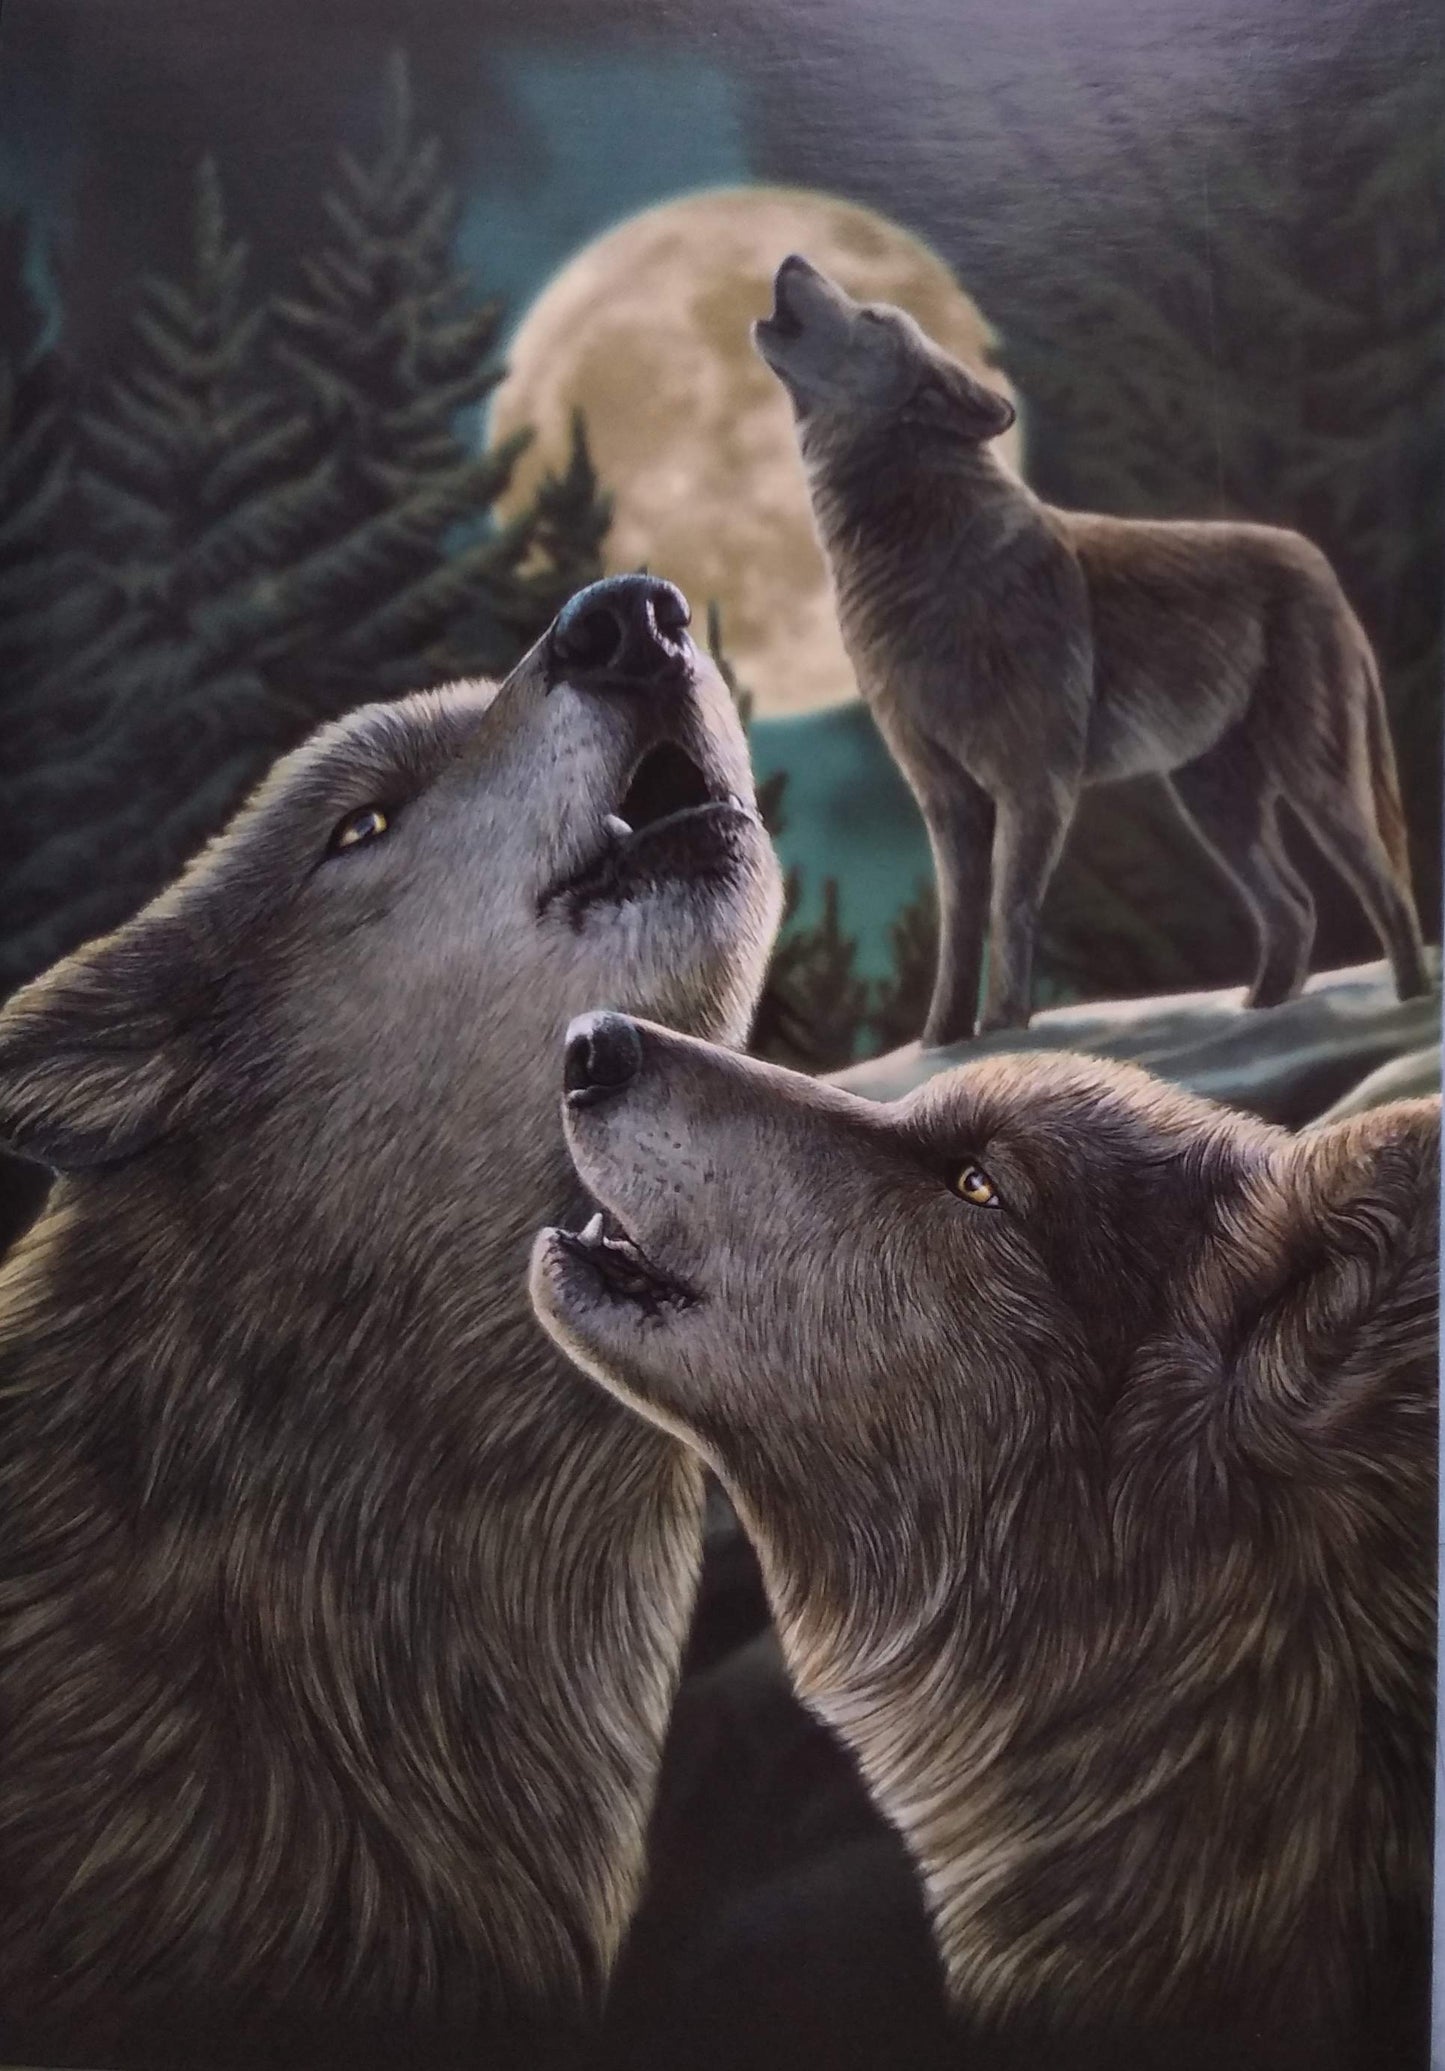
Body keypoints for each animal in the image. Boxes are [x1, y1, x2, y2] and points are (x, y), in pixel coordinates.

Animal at [753, 252, 1430, 1045]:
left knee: (1385, 886)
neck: (918, 561)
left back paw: (1409, 1009)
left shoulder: (1034, 786)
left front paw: (1003, 1031)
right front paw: (940, 1043)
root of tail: (1320, 563)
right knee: (1295, 907)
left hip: (1315, 780)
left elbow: (1008, 910)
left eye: (873, 316)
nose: (793, 258)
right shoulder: (946, 798)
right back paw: (1253, 1018)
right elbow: (957, 928)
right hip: (1214, 802)